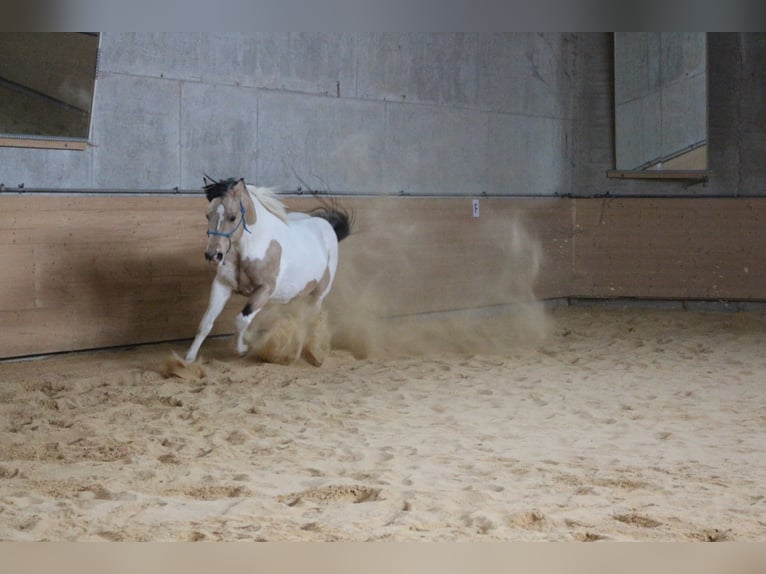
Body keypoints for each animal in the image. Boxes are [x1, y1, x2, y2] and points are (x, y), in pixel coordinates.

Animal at [185, 176, 351, 364]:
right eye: (208, 215)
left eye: (233, 217)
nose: (213, 255)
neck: (254, 247)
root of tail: (327, 225)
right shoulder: (222, 285)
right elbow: (206, 321)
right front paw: (189, 359)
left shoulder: (264, 290)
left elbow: (241, 320)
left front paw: (242, 349)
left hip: (319, 294)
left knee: (311, 319)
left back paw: (311, 354)